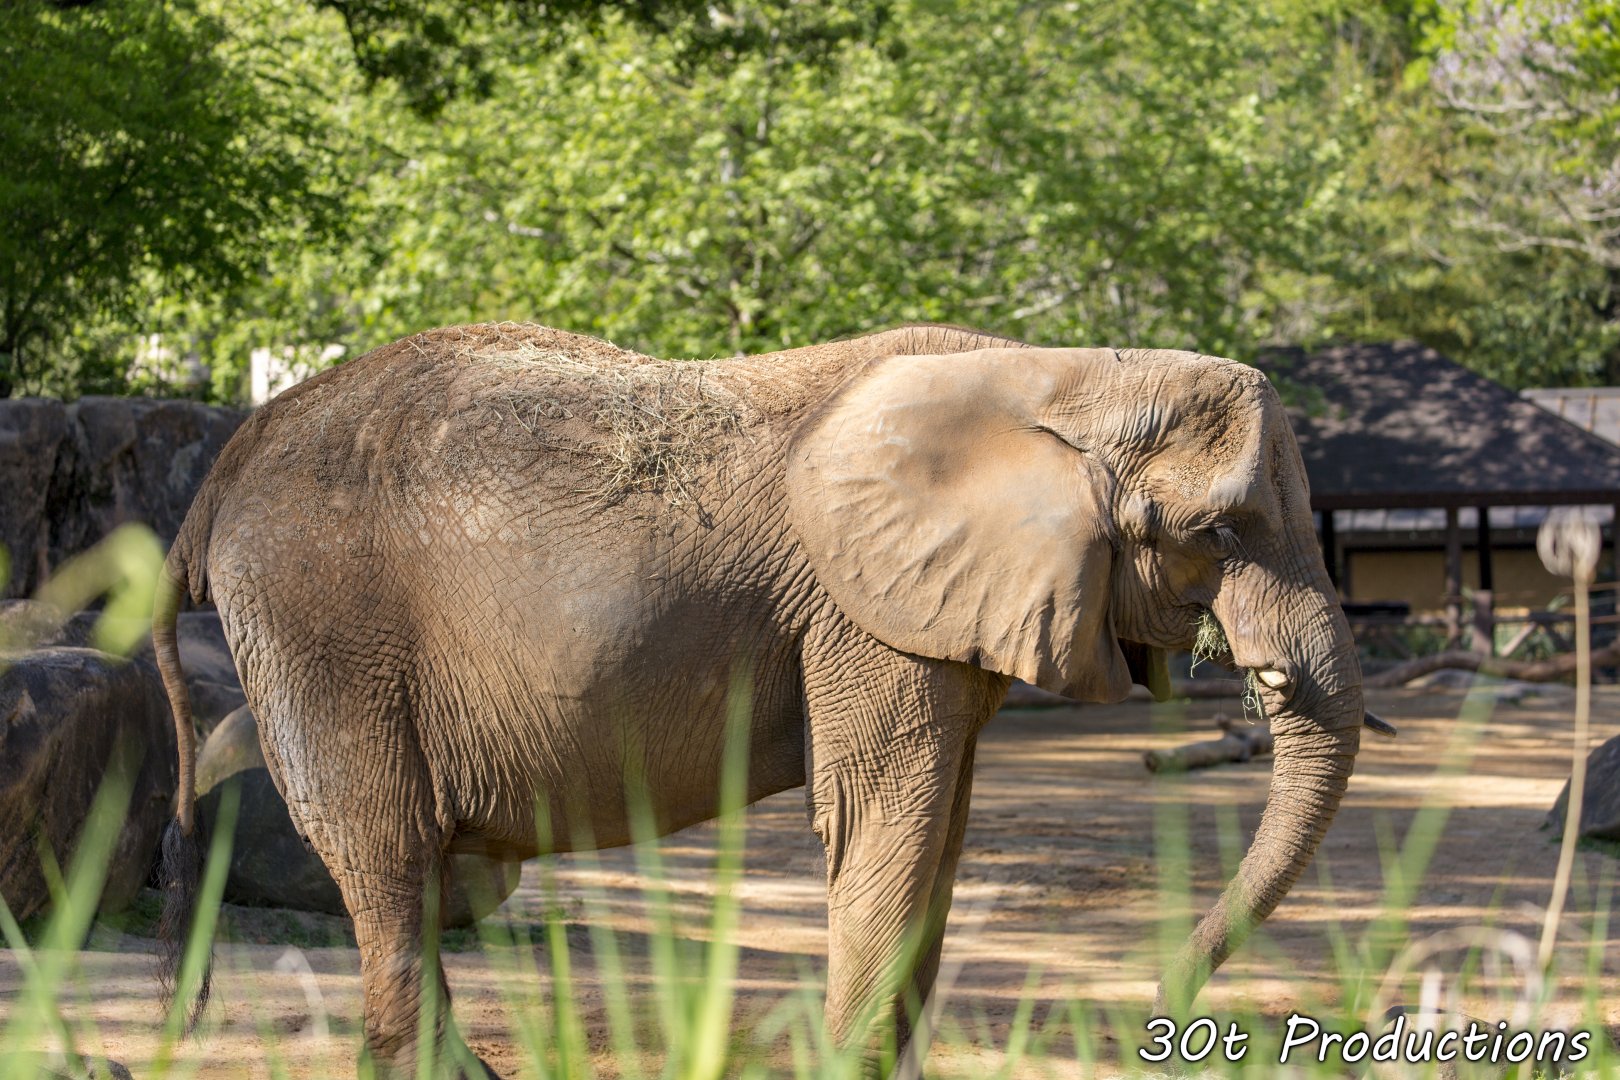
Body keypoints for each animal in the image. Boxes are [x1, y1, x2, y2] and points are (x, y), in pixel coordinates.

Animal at [151, 321, 1364, 1075]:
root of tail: (216, 475)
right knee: (386, 854)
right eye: (1215, 534)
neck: (1061, 374)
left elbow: (940, 833)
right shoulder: (862, 615)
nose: (1165, 1010)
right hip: (324, 625)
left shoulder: (926, 620)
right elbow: (886, 824)